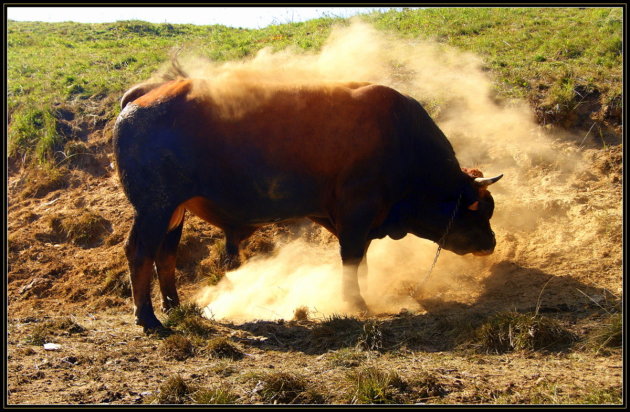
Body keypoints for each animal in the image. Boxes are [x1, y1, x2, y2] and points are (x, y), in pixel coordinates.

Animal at [112, 77, 504, 330]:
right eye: (480, 210)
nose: (491, 243)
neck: (402, 140)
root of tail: (143, 95)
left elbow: (361, 264)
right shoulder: (356, 217)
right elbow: (352, 261)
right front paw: (356, 303)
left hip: (172, 212)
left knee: (165, 254)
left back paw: (174, 307)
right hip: (154, 209)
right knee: (140, 252)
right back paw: (148, 318)